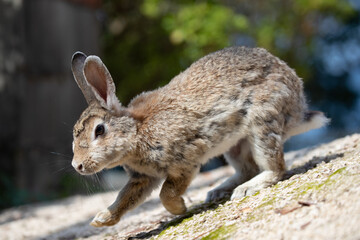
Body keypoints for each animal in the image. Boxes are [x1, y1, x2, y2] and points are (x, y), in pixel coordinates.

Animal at [70, 46, 330, 227]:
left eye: (99, 130)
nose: (77, 166)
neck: (136, 132)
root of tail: (297, 105)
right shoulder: (142, 178)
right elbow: (125, 198)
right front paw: (102, 219)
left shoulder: (184, 163)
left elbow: (166, 193)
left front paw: (179, 208)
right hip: (235, 145)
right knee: (248, 168)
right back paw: (219, 190)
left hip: (262, 122)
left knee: (276, 167)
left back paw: (244, 190)